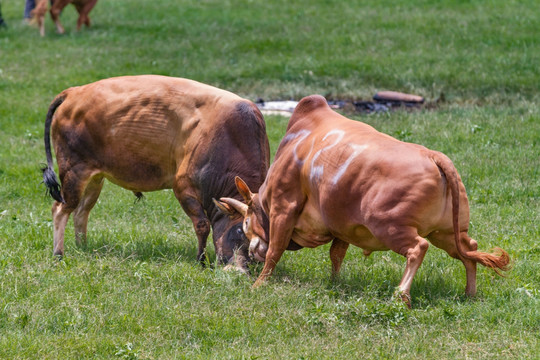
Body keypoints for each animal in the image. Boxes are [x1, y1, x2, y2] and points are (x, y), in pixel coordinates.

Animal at [42, 76, 270, 272]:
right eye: (240, 229)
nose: (242, 269)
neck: (231, 139)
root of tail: (74, 92)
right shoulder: (183, 188)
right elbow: (202, 225)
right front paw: (201, 260)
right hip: (73, 172)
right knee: (60, 209)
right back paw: (58, 254)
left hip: (94, 179)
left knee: (81, 211)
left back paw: (83, 247)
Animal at [216, 94, 510, 306]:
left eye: (245, 223)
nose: (251, 250)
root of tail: (434, 156)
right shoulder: (340, 225)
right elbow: (336, 255)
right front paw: (334, 283)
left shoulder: (283, 207)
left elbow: (274, 251)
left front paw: (259, 284)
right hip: (447, 232)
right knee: (469, 249)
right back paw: (469, 293)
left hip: (390, 226)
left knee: (418, 248)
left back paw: (401, 295)